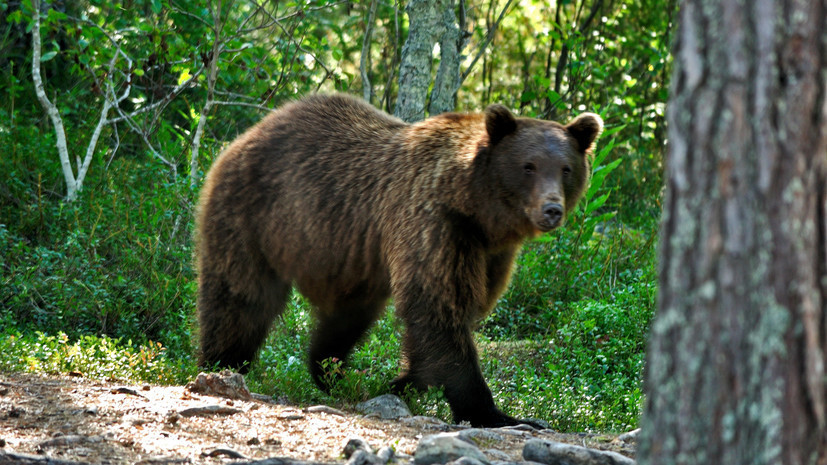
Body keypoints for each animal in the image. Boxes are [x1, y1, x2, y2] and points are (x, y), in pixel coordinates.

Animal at [197, 92, 604, 426]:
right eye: (528, 166)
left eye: (566, 168)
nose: (551, 209)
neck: (475, 207)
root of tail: (249, 132)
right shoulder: (434, 224)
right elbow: (437, 308)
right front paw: (493, 412)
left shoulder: (490, 254)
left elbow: (453, 316)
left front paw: (402, 381)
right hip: (254, 213)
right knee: (240, 297)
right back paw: (222, 364)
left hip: (348, 259)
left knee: (346, 318)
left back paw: (333, 370)